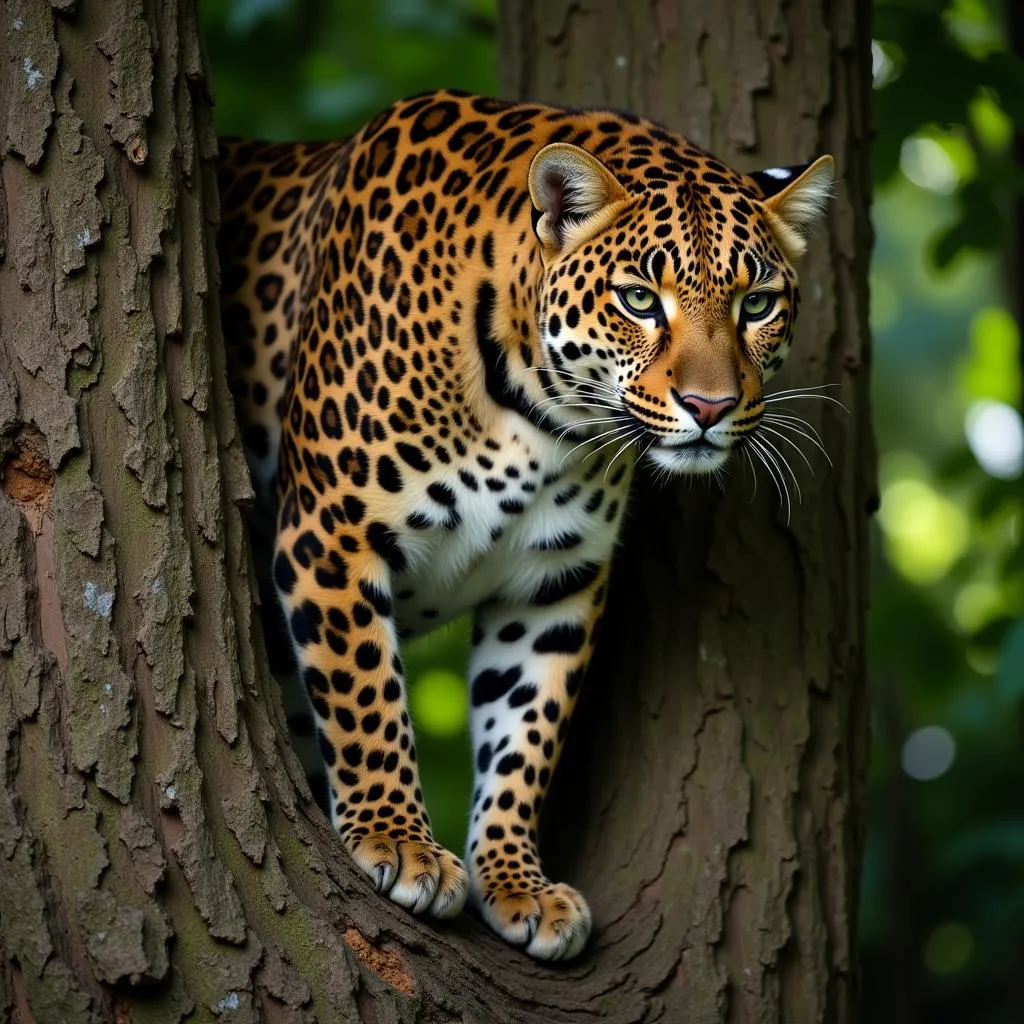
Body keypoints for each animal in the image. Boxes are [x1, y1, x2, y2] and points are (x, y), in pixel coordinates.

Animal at [216, 88, 831, 958]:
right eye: (639, 300)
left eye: (757, 304)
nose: (709, 407)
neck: (542, 414)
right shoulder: (333, 534)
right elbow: (366, 694)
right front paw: (398, 841)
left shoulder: (553, 583)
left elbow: (526, 728)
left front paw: (516, 883)